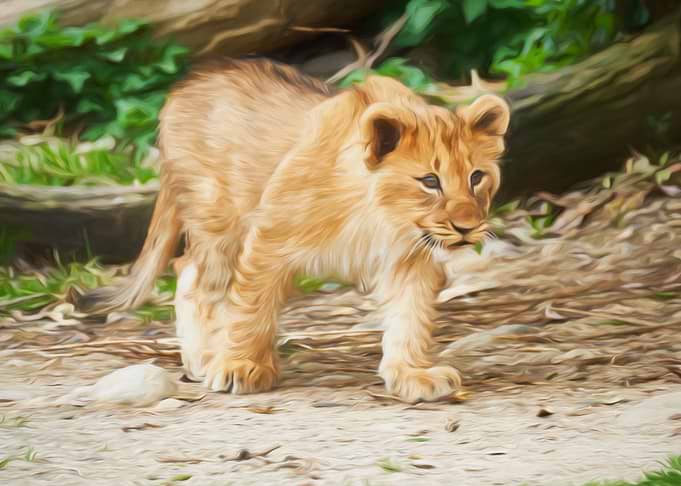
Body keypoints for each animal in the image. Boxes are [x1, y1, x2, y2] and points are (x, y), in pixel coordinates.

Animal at [80, 58, 510, 403]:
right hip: (219, 216)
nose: (467, 227)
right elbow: (252, 307)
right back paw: (205, 357)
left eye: (476, 177)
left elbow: (411, 318)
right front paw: (241, 367)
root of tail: (185, 86)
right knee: (196, 277)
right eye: (430, 181)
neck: (381, 216)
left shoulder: (412, 260)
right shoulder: (270, 235)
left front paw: (413, 374)